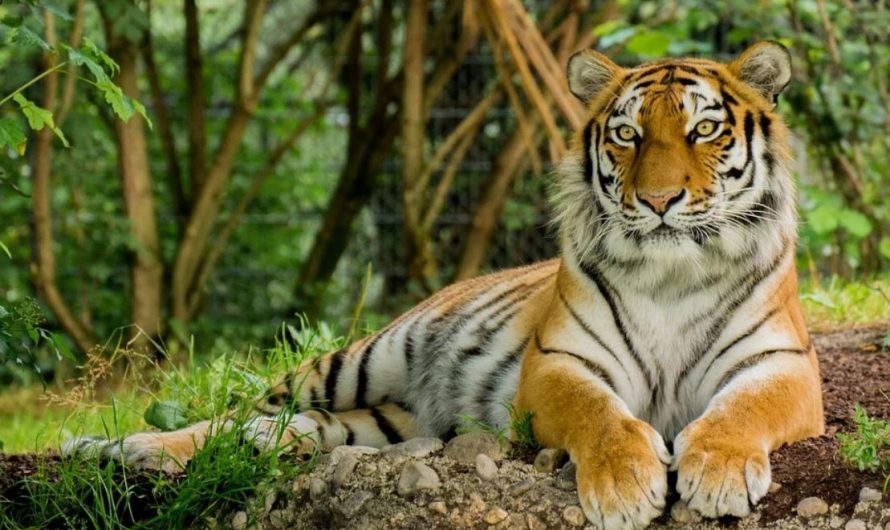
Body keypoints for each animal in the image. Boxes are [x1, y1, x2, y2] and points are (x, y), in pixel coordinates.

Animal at [65, 41, 823, 529]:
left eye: (704, 130)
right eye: (628, 136)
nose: (660, 200)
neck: (671, 273)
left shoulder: (780, 365)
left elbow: (739, 411)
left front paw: (717, 472)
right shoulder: (557, 365)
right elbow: (599, 415)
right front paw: (627, 484)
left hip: (383, 420)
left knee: (285, 428)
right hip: (355, 359)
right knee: (232, 413)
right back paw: (124, 448)